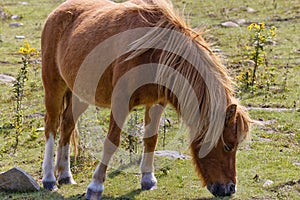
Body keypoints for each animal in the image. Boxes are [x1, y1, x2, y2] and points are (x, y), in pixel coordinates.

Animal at [40, 0, 251, 198]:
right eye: (228, 145)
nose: (229, 189)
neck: (155, 53)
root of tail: (57, 12)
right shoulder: (120, 102)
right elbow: (112, 141)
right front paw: (95, 186)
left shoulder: (157, 102)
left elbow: (151, 139)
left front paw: (148, 179)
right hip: (54, 86)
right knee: (52, 126)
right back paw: (49, 178)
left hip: (81, 93)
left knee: (67, 124)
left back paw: (65, 175)